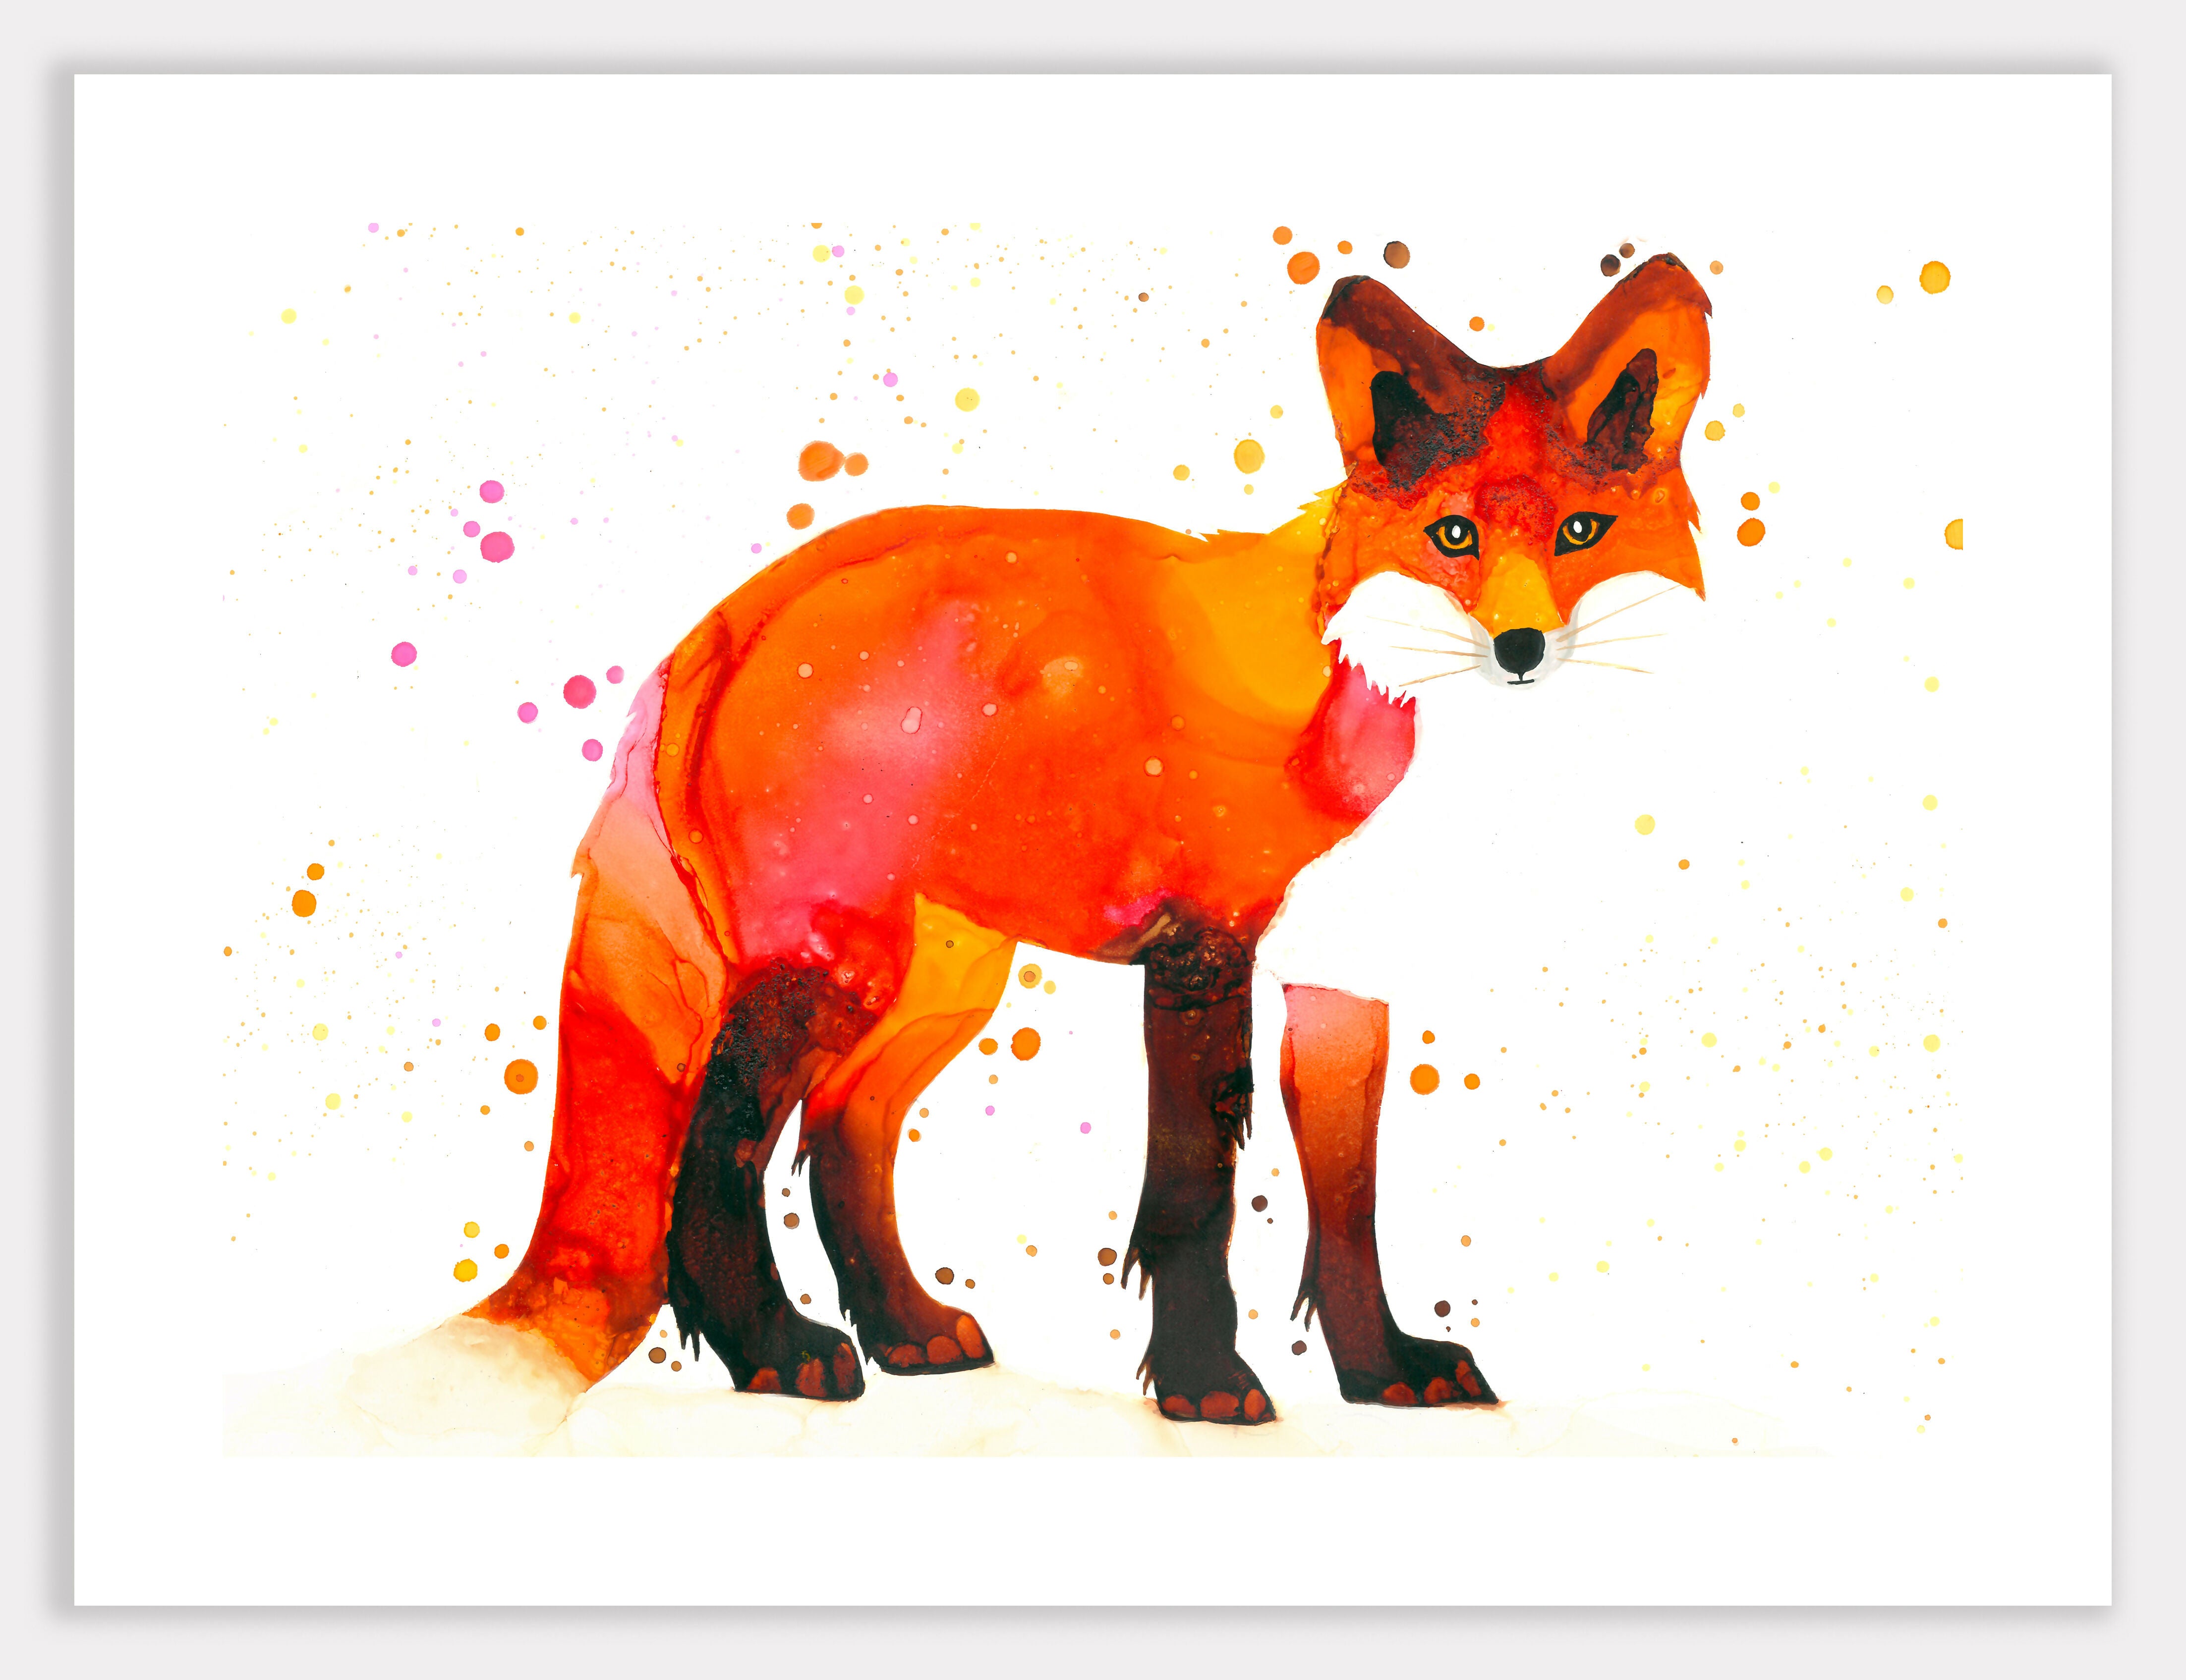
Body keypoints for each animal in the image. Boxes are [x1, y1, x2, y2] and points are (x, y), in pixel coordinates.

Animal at [469, 253, 1712, 1424]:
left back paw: (903, 1329)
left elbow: (1349, 1206)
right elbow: (1195, 1200)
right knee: (716, 1145)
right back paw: (774, 1349)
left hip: (939, 984)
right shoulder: (1203, 948)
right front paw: (1206, 1387)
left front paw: (1379, 1374)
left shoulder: (1342, 987)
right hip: (837, 967)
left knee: (842, 1134)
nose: (1520, 650)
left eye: (1582, 533)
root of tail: (742, 607)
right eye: (1453, 536)